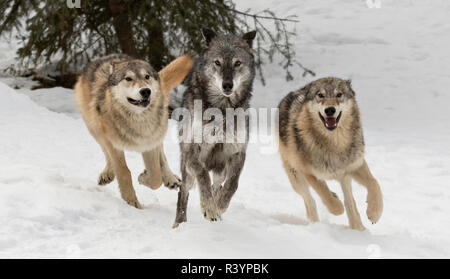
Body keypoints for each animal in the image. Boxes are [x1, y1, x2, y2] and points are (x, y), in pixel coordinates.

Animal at [74, 53, 193, 209]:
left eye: (147, 77)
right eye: (128, 79)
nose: (146, 91)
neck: (138, 122)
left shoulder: (149, 144)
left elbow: (156, 177)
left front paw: (143, 178)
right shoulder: (113, 145)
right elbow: (124, 171)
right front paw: (132, 203)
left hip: (159, 133)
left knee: (162, 156)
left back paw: (170, 178)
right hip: (95, 129)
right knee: (106, 152)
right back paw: (108, 174)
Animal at [172, 28, 256, 228]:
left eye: (237, 63)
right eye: (217, 62)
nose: (227, 85)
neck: (222, 110)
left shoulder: (237, 152)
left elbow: (233, 185)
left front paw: (219, 206)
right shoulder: (193, 152)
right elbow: (203, 175)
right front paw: (209, 208)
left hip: (221, 169)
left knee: (217, 184)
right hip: (187, 170)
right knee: (183, 191)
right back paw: (179, 224)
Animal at [278, 77, 384, 231]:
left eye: (339, 94)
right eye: (320, 95)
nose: (329, 110)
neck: (335, 143)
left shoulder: (355, 165)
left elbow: (374, 183)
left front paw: (374, 213)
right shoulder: (308, 172)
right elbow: (324, 193)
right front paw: (336, 207)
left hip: (345, 177)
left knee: (350, 202)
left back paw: (358, 228)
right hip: (296, 178)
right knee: (310, 201)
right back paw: (316, 223)